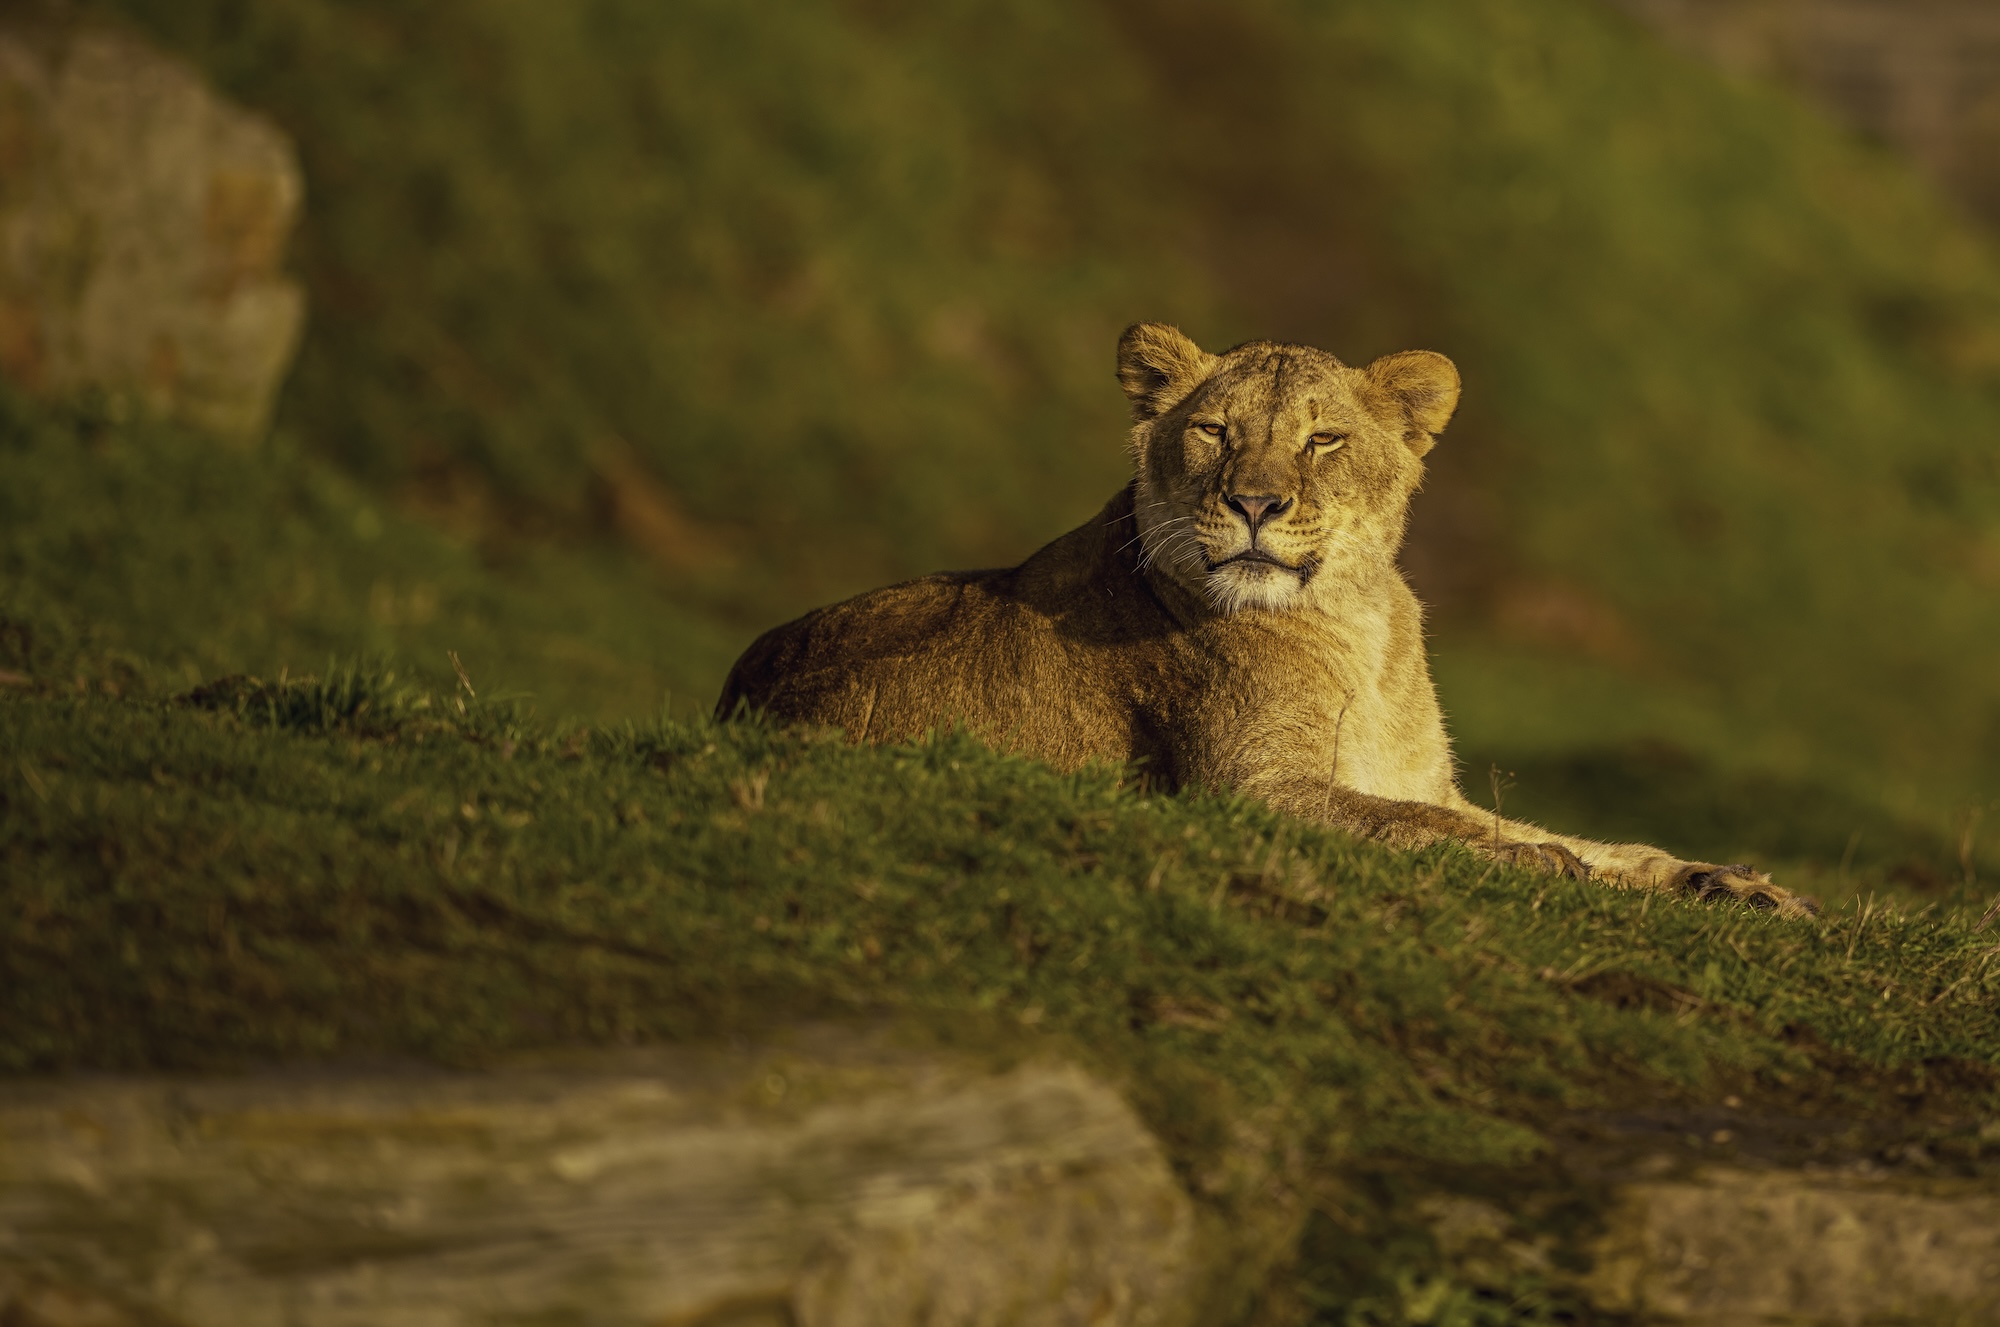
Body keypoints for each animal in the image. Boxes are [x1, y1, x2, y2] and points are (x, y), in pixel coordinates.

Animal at [718, 324, 1816, 917]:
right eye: (1213, 431)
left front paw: (1734, 884)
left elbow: (1588, 840)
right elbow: (1414, 826)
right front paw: (1536, 866)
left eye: (1323, 440)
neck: (1355, 621)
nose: (1254, 502)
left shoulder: (1422, 777)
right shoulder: (1242, 790)